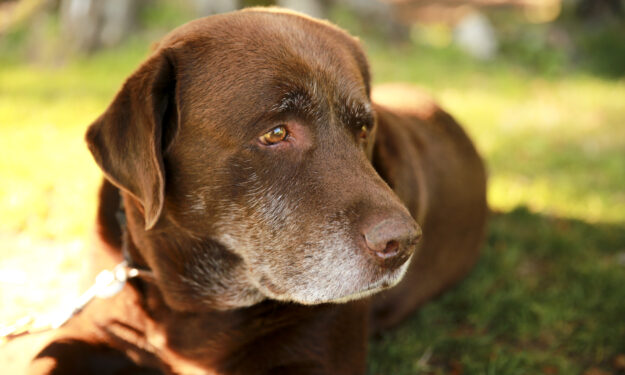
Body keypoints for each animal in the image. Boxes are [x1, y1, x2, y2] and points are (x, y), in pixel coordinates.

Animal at [25, 8, 488, 375]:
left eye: (362, 130)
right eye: (276, 133)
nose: (403, 243)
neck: (193, 305)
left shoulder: (315, 357)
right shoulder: (89, 333)